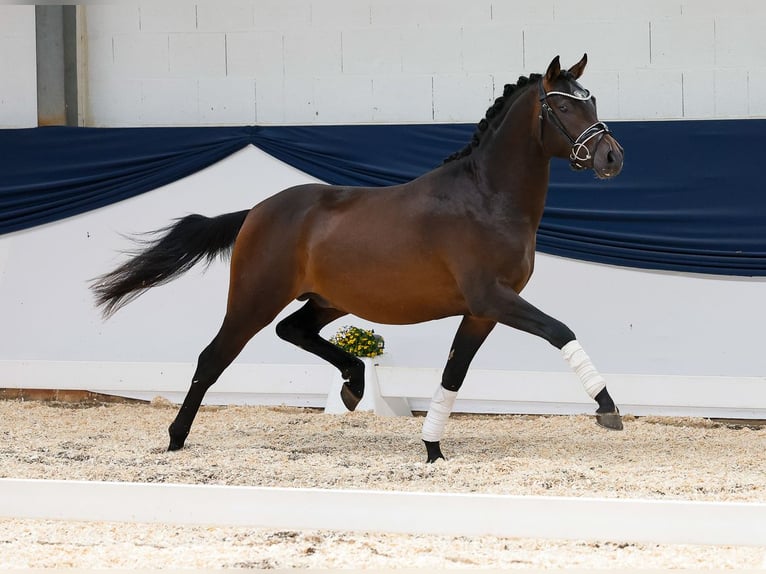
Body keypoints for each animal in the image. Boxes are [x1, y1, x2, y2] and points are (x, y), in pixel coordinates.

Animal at [93, 55, 628, 464]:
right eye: (563, 104)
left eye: (593, 100)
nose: (611, 158)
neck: (486, 198)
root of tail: (258, 211)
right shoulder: (492, 299)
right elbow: (560, 330)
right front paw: (608, 409)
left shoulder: (482, 312)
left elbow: (453, 374)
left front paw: (432, 449)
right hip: (254, 298)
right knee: (213, 356)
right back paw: (175, 440)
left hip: (328, 300)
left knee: (293, 330)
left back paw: (353, 383)